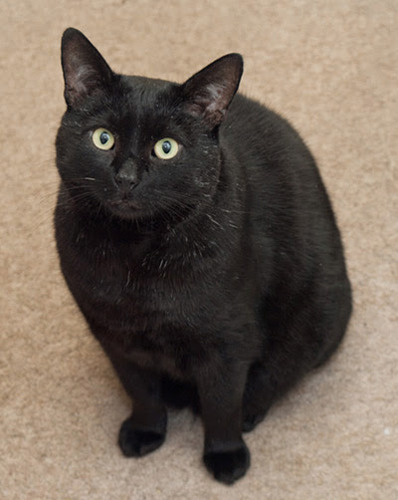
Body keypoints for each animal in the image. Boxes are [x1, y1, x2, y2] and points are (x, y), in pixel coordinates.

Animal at [53, 28, 352, 484]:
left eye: (167, 148)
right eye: (102, 138)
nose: (126, 178)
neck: (137, 253)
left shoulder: (227, 343)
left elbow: (222, 404)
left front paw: (225, 455)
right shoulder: (114, 335)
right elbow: (140, 390)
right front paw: (146, 431)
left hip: (321, 318)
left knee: (275, 377)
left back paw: (250, 412)